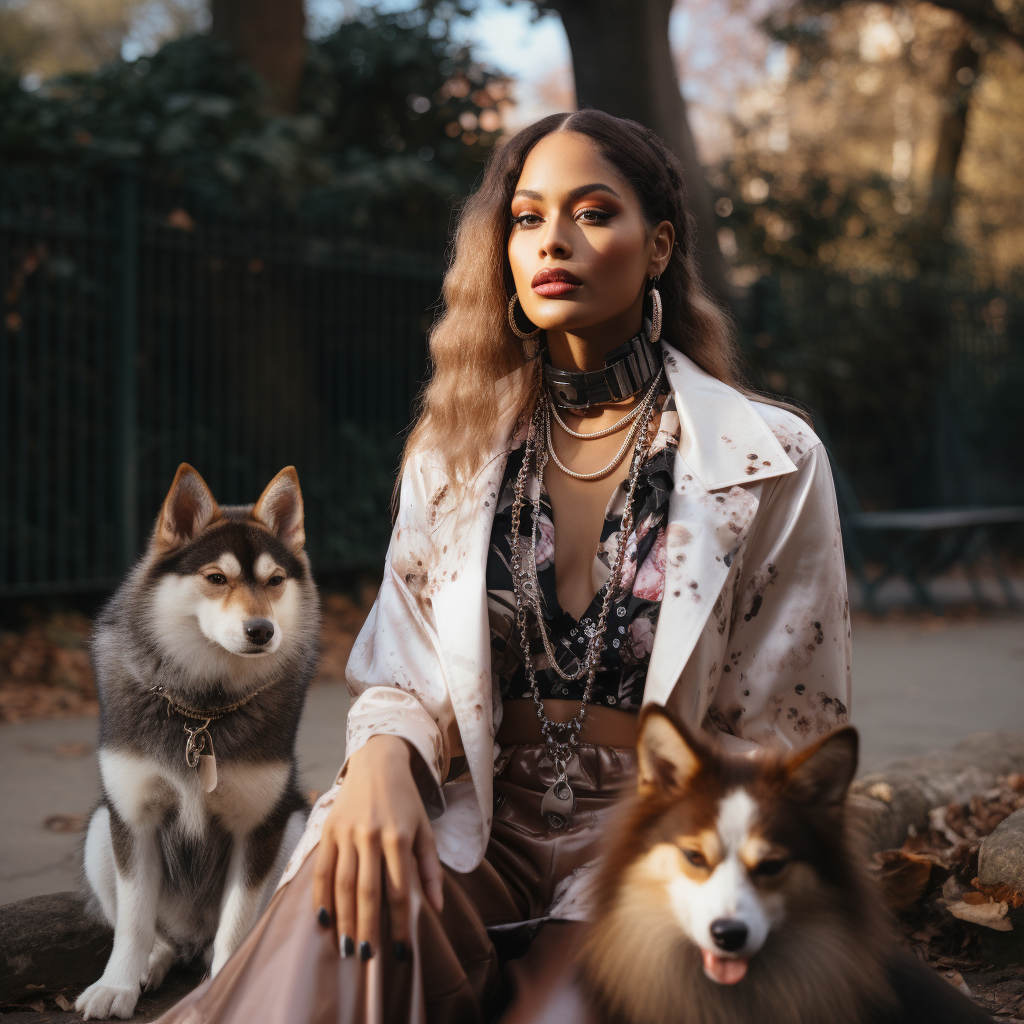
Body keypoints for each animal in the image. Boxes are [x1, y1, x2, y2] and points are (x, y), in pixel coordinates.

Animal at [76, 462, 319, 1015]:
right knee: (159, 936)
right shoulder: (133, 817)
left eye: (275, 582)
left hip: (297, 824)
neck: (202, 709)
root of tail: (191, 941)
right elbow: (133, 922)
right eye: (216, 578)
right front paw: (116, 986)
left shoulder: (258, 826)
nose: (261, 630)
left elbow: (237, 925)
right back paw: (154, 963)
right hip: (100, 828)